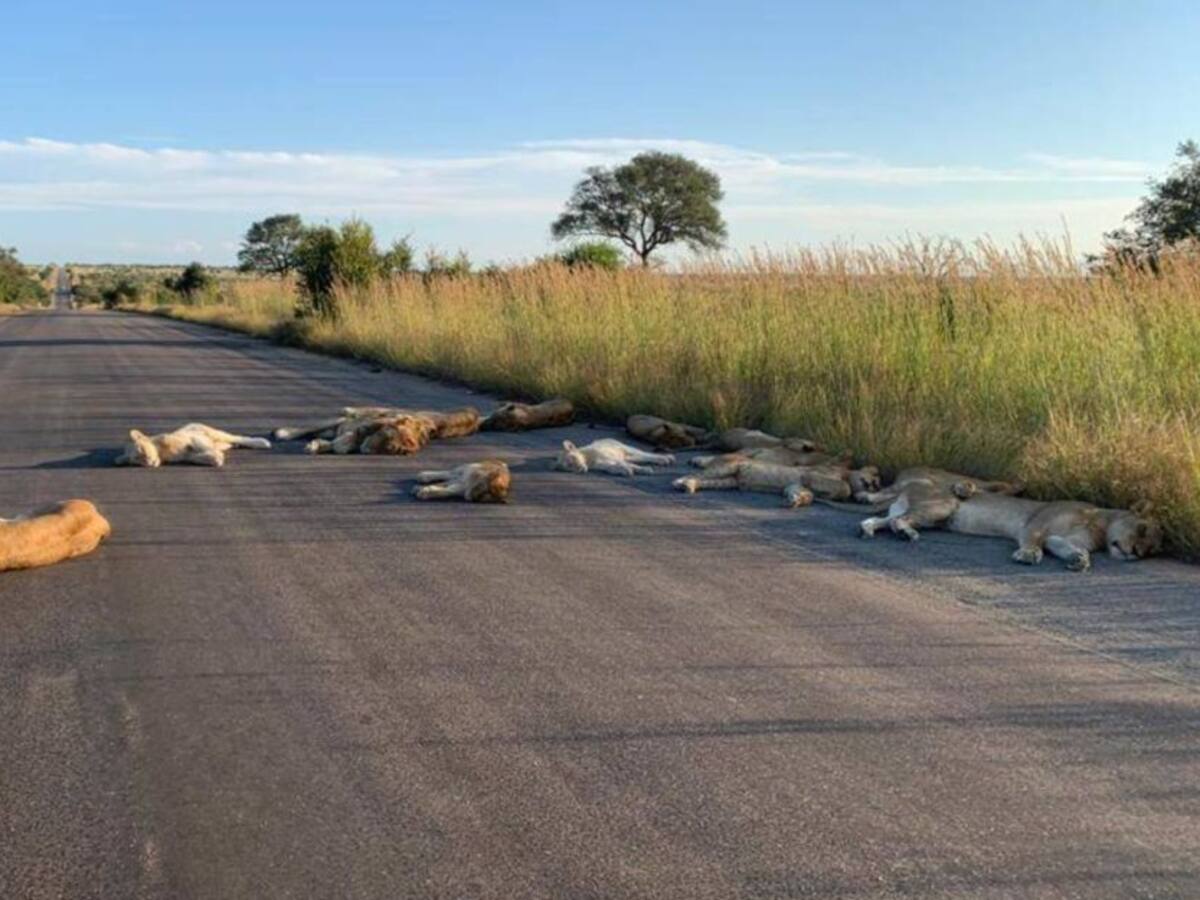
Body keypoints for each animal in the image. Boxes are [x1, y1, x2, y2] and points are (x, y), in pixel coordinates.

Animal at [116, 423, 271, 467]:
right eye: (136, 460)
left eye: (142, 450)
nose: (148, 461)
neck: (162, 453)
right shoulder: (186, 456)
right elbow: (197, 457)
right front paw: (215, 459)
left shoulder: (192, 438)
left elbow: (201, 446)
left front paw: (215, 456)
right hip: (220, 441)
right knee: (228, 443)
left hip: (214, 432)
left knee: (239, 437)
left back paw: (263, 442)